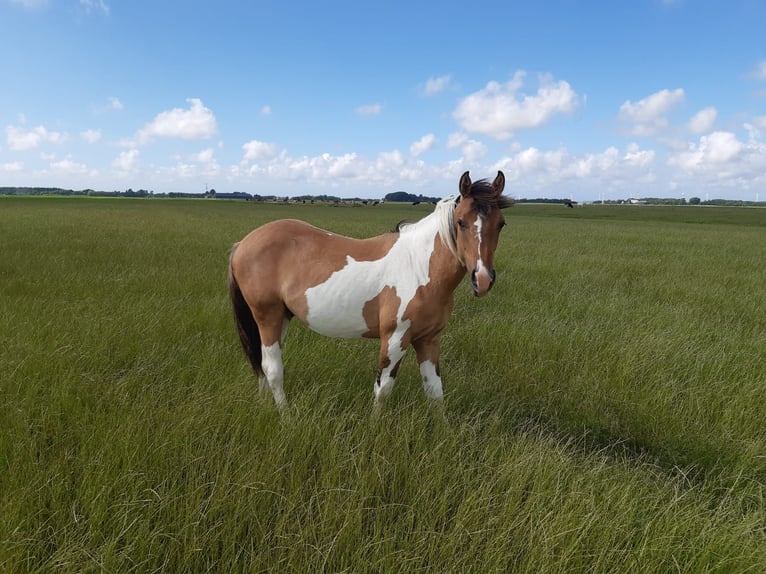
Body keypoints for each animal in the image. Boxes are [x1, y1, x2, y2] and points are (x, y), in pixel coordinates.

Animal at [228, 170, 516, 410]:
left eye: (501, 223)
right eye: (461, 222)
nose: (482, 279)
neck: (419, 267)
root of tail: (243, 243)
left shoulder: (429, 339)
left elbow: (435, 392)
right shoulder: (395, 338)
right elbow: (383, 388)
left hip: (281, 317)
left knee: (262, 365)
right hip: (267, 316)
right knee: (272, 369)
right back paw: (285, 416)